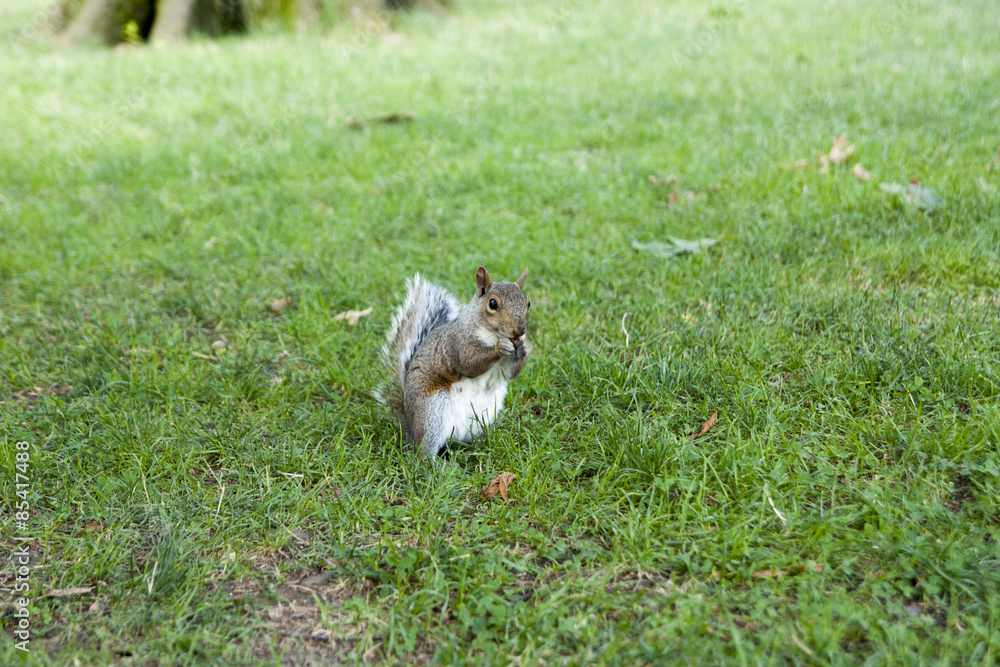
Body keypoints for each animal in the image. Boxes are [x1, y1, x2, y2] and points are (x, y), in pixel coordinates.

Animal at [379, 266, 533, 458]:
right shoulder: (457, 342)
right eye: (492, 304)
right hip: (431, 410)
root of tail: (411, 429)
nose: (519, 331)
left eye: (528, 303)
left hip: (485, 415)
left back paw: (485, 445)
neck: (493, 334)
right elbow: (469, 363)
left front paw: (526, 346)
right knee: (423, 451)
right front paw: (499, 347)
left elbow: (509, 373)